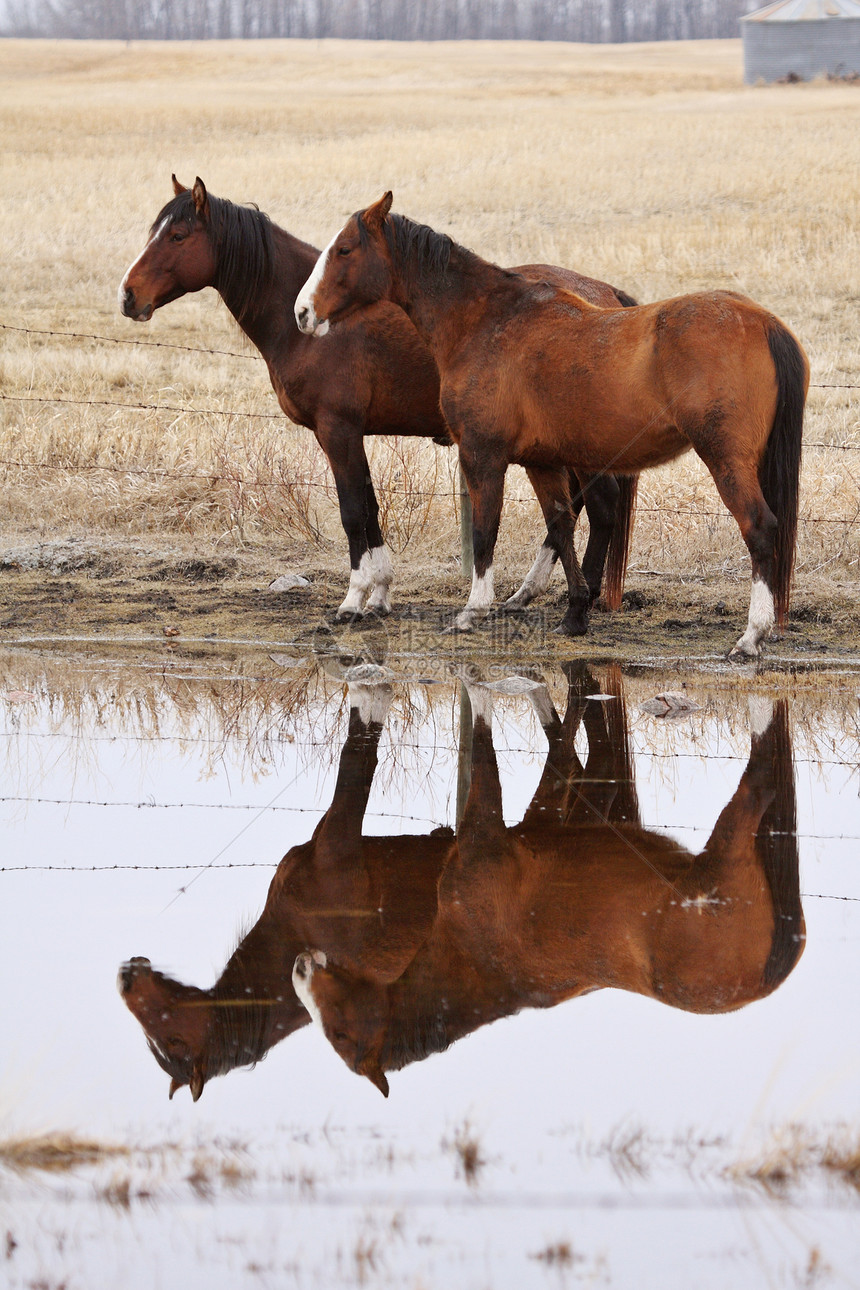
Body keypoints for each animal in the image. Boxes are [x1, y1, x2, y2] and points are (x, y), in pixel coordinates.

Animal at [119, 179, 639, 616]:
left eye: (178, 236)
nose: (127, 296)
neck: (312, 328)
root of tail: (606, 295)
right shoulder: (350, 435)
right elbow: (369, 508)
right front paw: (380, 595)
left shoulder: (338, 430)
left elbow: (353, 512)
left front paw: (354, 599)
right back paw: (531, 593)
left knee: (599, 506)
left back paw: (578, 595)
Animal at [293, 190, 809, 655]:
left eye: (344, 249)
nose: (302, 312)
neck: (485, 320)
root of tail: (762, 320)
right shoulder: (541, 462)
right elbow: (560, 526)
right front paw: (575, 612)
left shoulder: (482, 454)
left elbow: (486, 529)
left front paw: (473, 610)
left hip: (725, 459)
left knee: (760, 528)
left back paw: (751, 636)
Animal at [296, 665, 809, 1099]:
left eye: (339, 1034)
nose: (301, 965)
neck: (473, 954)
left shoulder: (485, 831)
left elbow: (486, 741)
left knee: (761, 784)